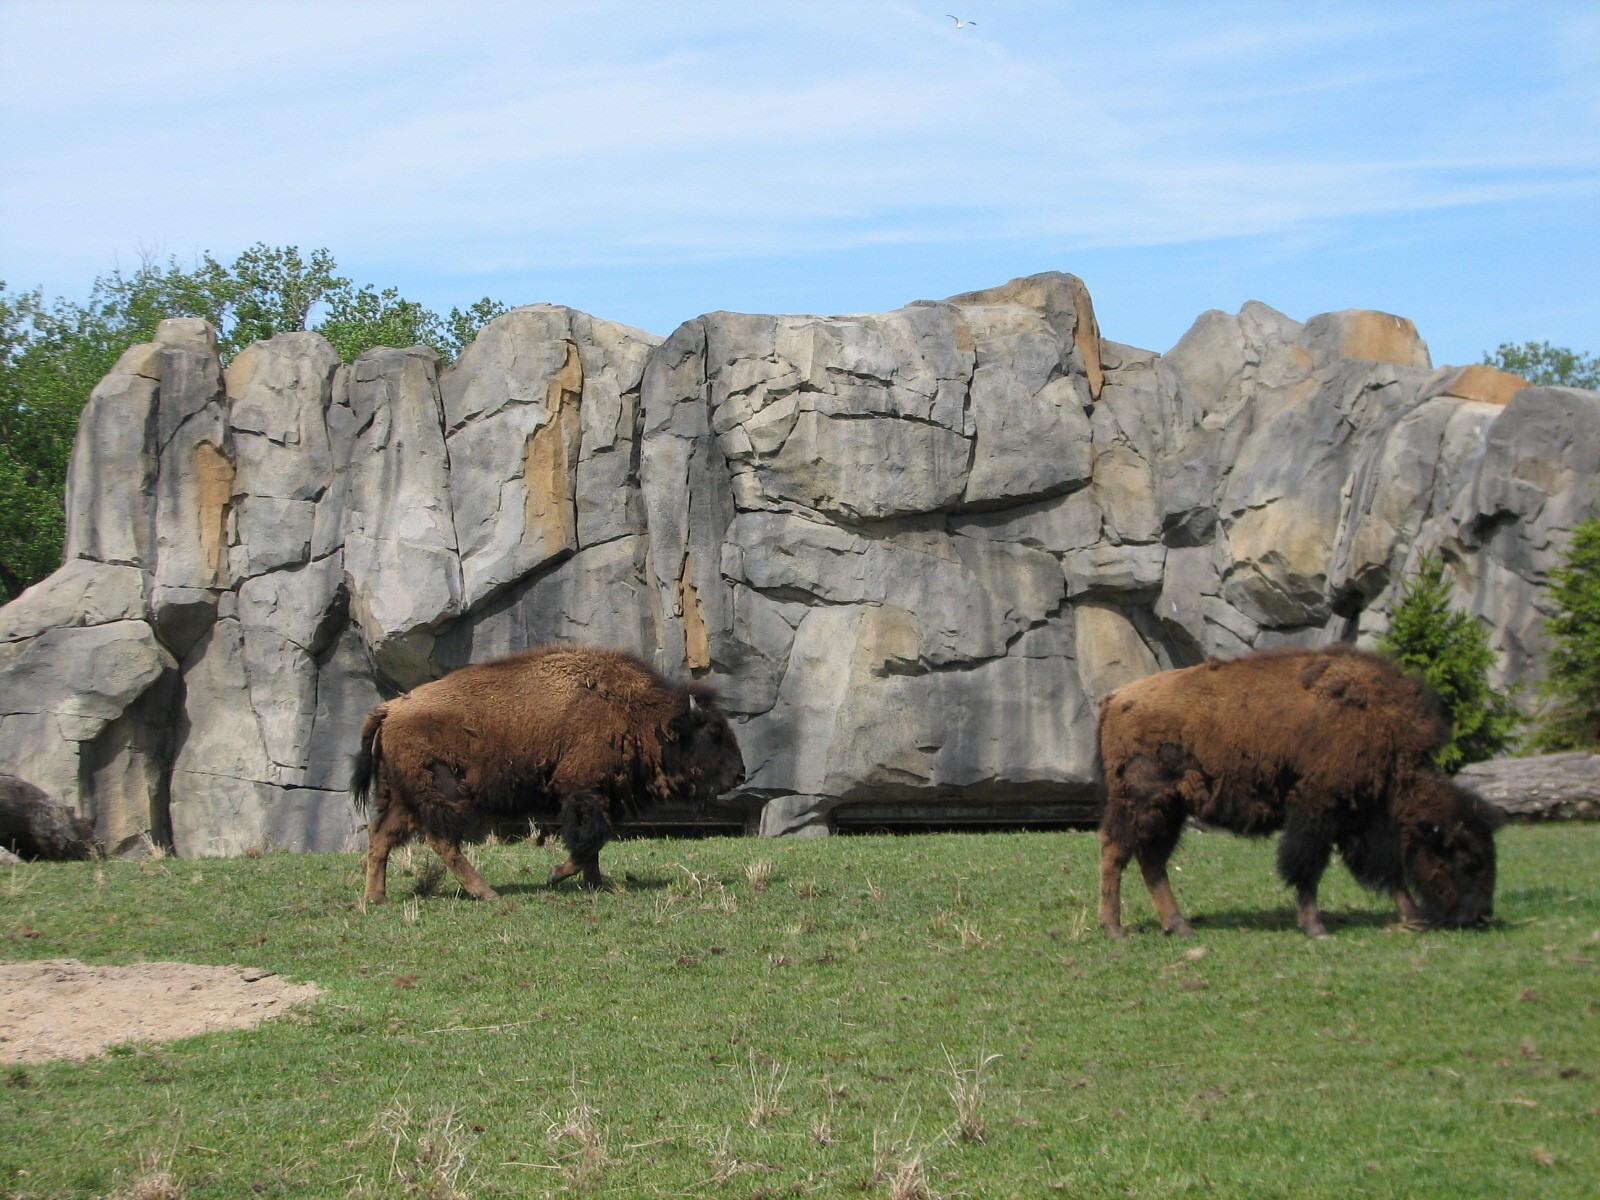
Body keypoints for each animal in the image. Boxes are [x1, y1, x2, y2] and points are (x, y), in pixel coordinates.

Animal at [352, 645, 746, 904]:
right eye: (713, 732)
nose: (740, 774)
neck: (635, 713)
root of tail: (389, 708)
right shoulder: (583, 792)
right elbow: (591, 839)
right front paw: (557, 874)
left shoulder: (602, 796)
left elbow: (596, 843)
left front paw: (597, 883)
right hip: (443, 794)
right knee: (441, 840)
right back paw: (486, 892)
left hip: (401, 797)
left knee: (382, 836)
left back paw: (376, 897)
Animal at [1097, 646, 1504, 939]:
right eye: (1466, 859)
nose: (1482, 915)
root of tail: (1116, 697)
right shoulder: (1318, 809)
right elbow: (1309, 867)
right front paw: (1315, 927)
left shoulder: (1361, 819)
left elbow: (1387, 869)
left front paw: (1413, 917)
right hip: (1141, 802)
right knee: (1116, 853)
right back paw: (1115, 929)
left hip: (1171, 809)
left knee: (1151, 861)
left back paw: (1179, 926)